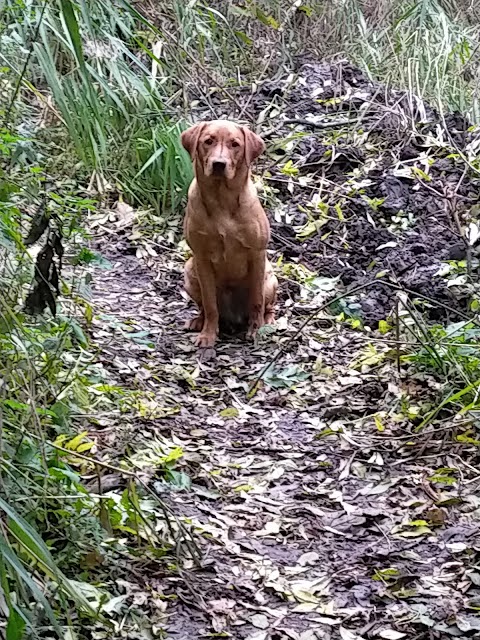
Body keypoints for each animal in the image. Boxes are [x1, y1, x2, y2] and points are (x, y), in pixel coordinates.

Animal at [181, 120, 278, 350]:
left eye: (235, 144)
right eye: (208, 141)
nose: (219, 164)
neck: (221, 200)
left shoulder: (257, 254)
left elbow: (257, 301)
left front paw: (257, 331)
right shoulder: (201, 257)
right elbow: (210, 304)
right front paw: (208, 335)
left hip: (270, 277)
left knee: (267, 305)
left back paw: (268, 321)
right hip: (190, 271)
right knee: (205, 307)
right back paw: (198, 321)